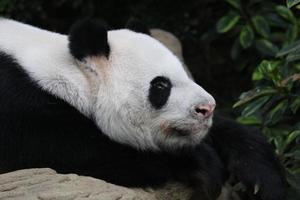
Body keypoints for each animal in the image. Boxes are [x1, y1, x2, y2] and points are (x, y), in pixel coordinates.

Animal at [0, 18, 286, 199]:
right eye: (161, 86)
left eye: (186, 73)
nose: (207, 108)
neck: (72, 75)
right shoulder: (23, 111)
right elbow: (83, 154)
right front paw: (203, 164)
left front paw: (260, 179)